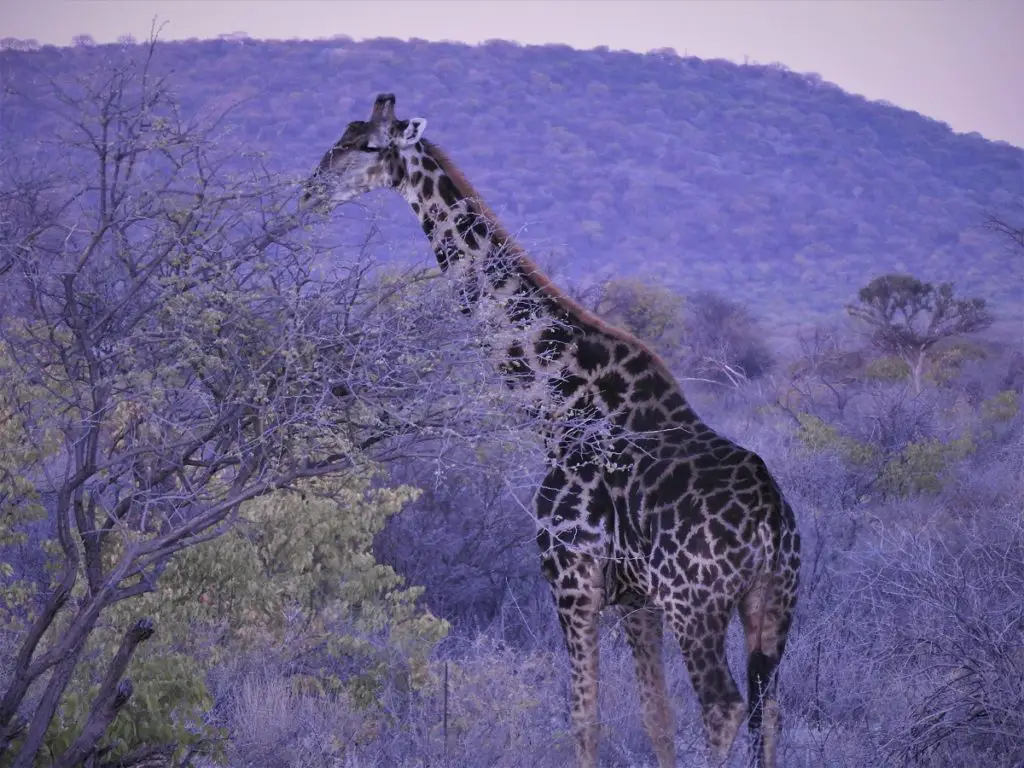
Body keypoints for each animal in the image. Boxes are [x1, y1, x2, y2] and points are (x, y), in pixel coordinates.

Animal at [299, 93, 802, 765]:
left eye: (369, 146)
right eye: (342, 136)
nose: (311, 190)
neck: (558, 408)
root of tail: (773, 520)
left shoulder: (571, 577)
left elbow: (584, 719)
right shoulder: (635, 598)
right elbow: (656, 720)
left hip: (697, 603)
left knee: (723, 709)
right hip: (773, 604)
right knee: (767, 712)